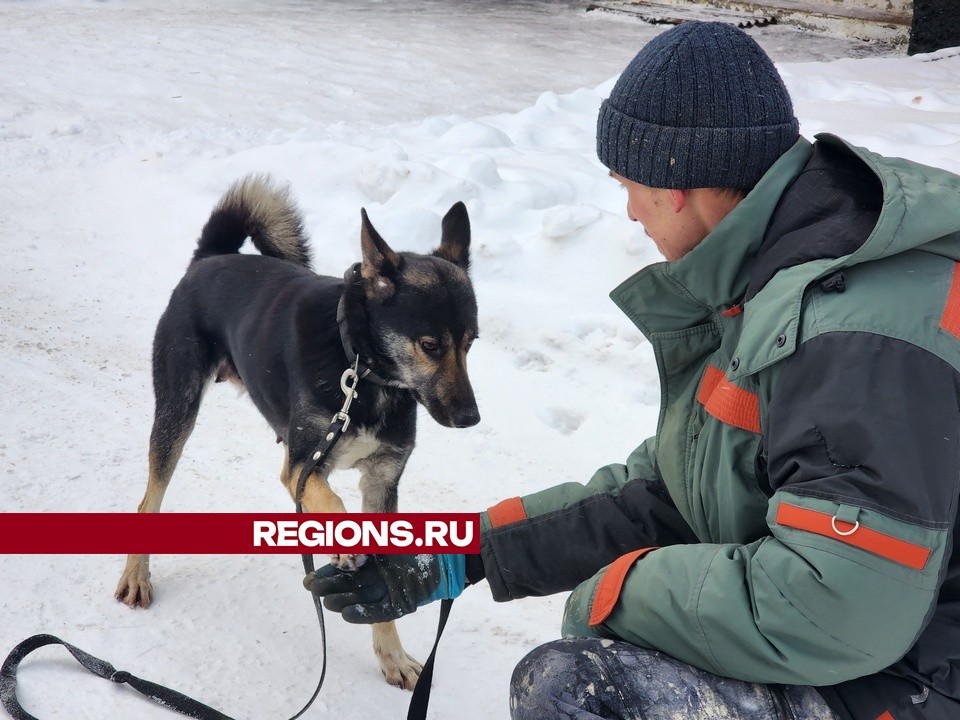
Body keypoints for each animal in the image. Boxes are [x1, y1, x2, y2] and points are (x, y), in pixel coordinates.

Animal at [118, 173, 480, 688]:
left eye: (471, 343)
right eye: (430, 344)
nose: (471, 417)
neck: (360, 369)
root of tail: (211, 257)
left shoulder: (382, 481)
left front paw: (391, 654)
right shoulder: (302, 469)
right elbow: (332, 502)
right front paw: (345, 546)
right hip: (176, 412)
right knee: (149, 498)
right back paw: (137, 574)